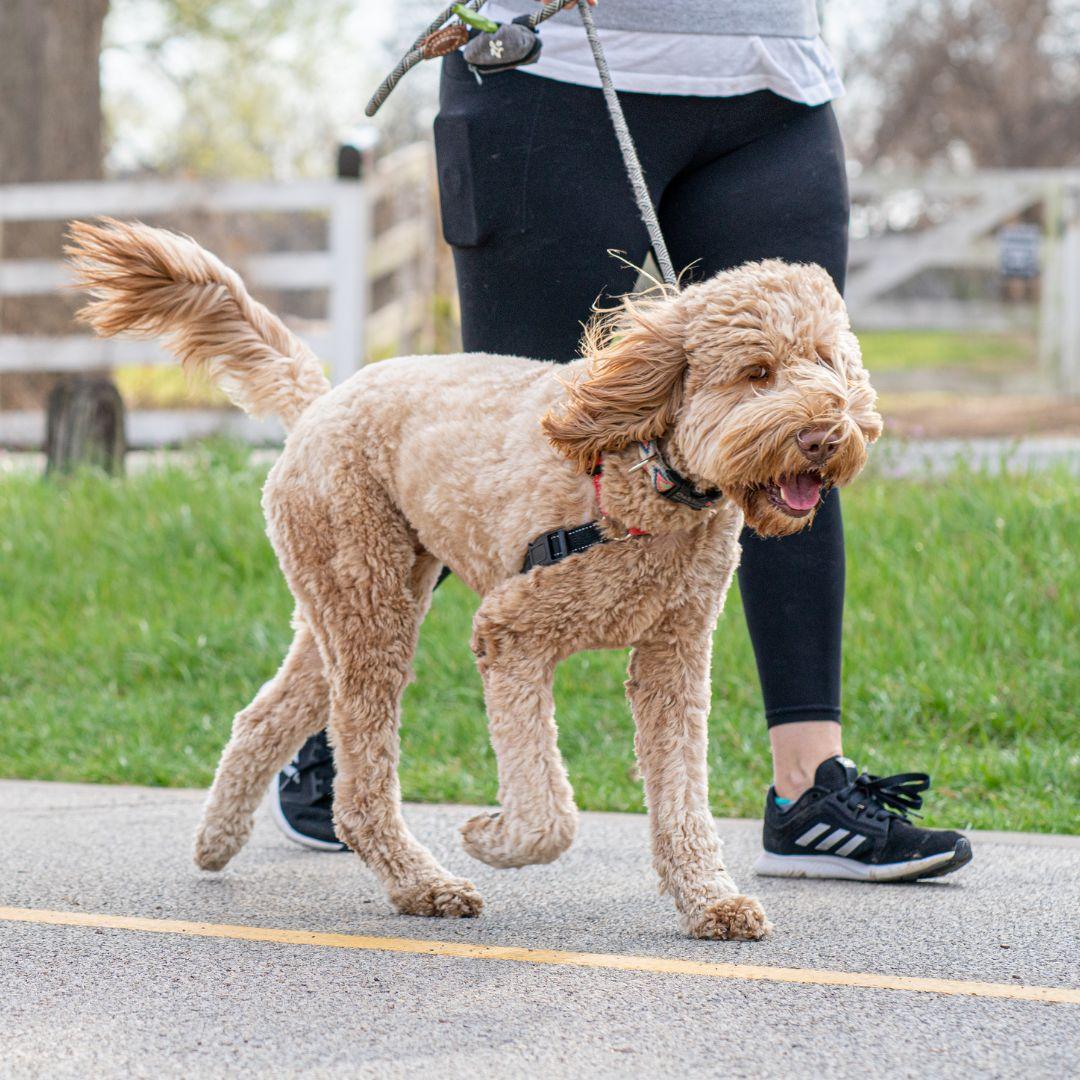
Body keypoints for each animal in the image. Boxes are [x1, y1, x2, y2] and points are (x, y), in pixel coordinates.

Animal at [65, 217, 876, 937]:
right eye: (756, 372)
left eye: (828, 363)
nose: (825, 436)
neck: (646, 474)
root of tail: (321, 401)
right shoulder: (512, 633)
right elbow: (549, 813)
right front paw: (492, 837)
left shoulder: (672, 657)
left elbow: (681, 796)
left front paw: (710, 900)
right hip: (370, 603)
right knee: (360, 785)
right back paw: (422, 885)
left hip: (351, 605)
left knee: (264, 718)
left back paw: (217, 841)